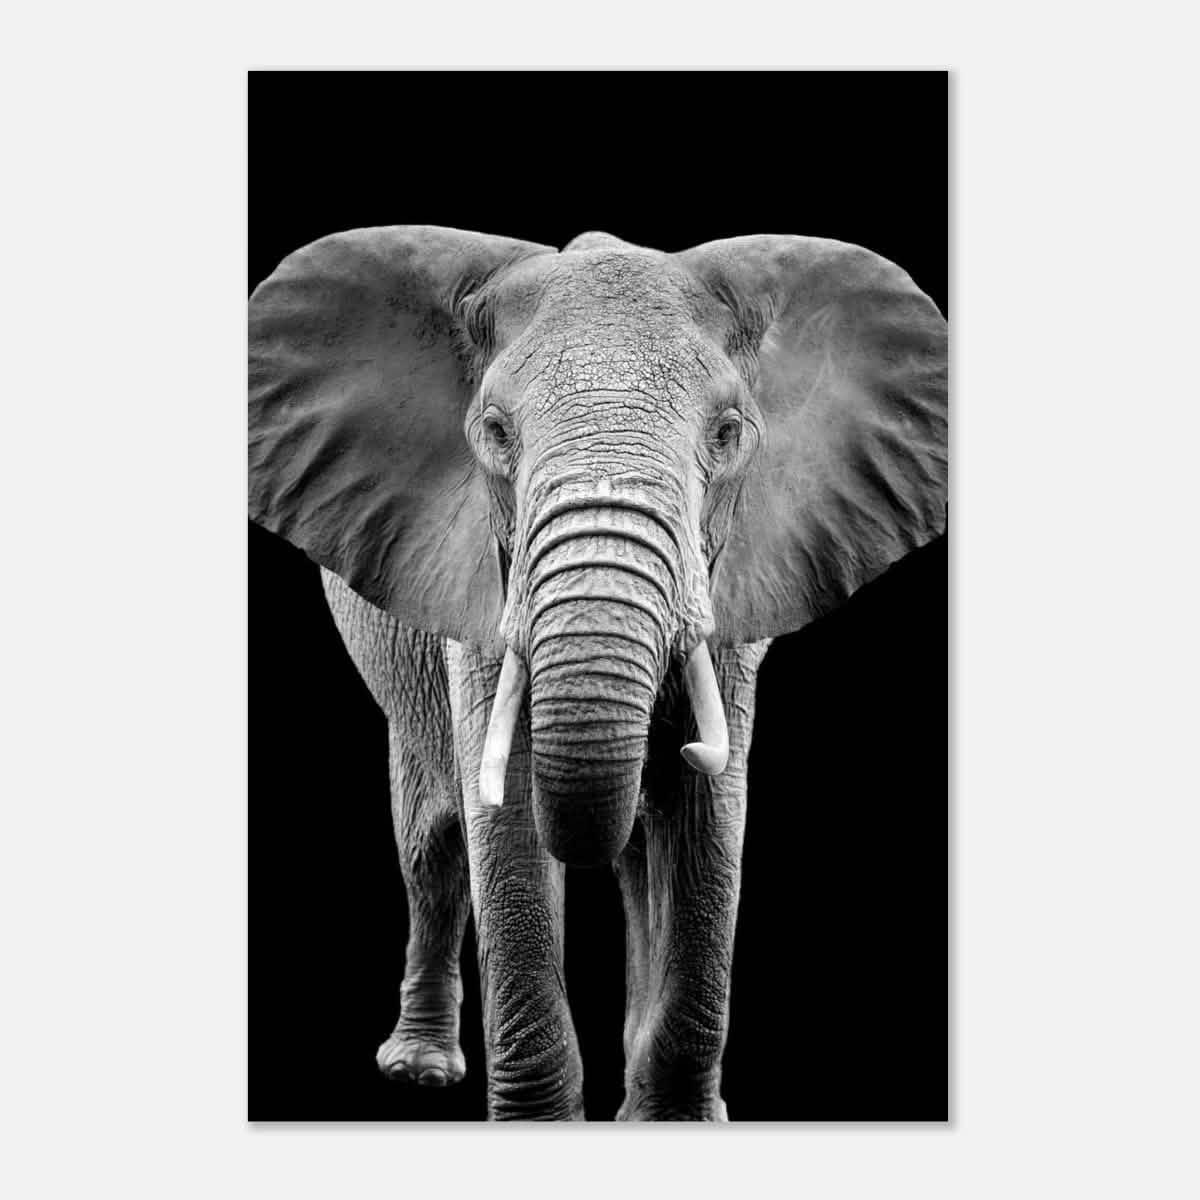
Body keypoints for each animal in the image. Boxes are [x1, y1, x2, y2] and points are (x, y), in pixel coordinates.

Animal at [248, 226, 947, 1121]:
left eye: (728, 433)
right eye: (495, 431)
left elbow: (707, 822)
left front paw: (677, 1120)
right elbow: (505, 818)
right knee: (432, 845)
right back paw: (420, 1069)